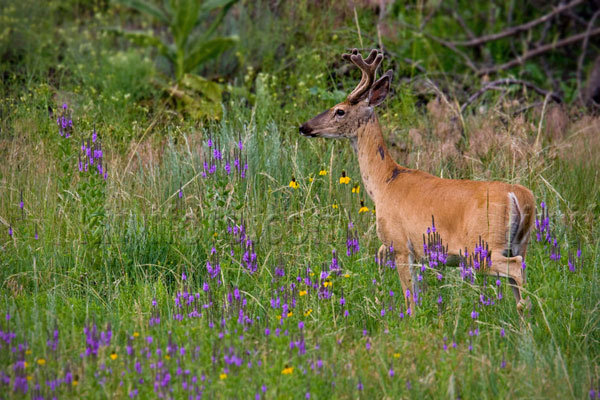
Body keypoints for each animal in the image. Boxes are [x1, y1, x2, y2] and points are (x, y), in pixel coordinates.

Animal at [300, 49, 536, 312]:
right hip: (520, 242)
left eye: (339, 111)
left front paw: (409, 317)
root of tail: (519, 196)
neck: (384, 183)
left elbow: (409, 296)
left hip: (482, 246)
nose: (304, 127)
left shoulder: (401, 244)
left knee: (515, 268)